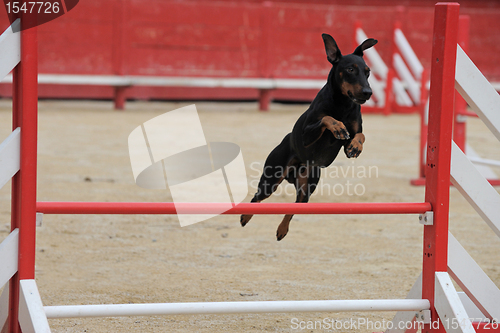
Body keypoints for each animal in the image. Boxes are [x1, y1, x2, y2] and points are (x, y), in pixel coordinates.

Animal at [240, 33, 376, 240]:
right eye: (351, 69)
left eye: (367, 71)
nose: (368, 92)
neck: (342, 104)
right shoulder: (306, 136)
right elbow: (327, 119)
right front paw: (338, 127)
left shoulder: (352, 132)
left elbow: (360, 134)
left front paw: (355, 146)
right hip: (271, 178)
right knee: (258, 197)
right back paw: (245, 216)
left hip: (307, 188)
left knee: (294, 207)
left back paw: (282, 229)